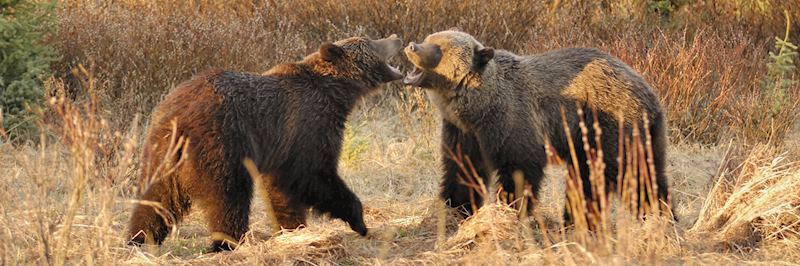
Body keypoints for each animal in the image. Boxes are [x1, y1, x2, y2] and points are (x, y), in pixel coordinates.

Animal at [132, 34, 406, 251]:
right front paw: (359, 221)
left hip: (161, 152)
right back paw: (226, 243)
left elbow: (282, 189)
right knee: (229, 197)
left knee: (155, 199)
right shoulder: (309, 125)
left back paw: (140, 238)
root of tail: (179, 117)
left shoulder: (281, 149)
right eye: (373, 42)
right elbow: (316, 175)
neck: (337, 93)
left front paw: (293, 228)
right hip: (222, 144)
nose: (396, 37)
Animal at [404, 29, 672, 222]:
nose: (411, 46)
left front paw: (511, 209)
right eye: (429, 38)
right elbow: (462, 168)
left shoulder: (512, 121)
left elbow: (519, 167)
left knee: (628, 173)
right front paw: (456, 208)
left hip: (610, 126)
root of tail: (651, 93)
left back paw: (655, 217)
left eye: (438, 48)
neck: (478, 108)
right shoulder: (462, 132)